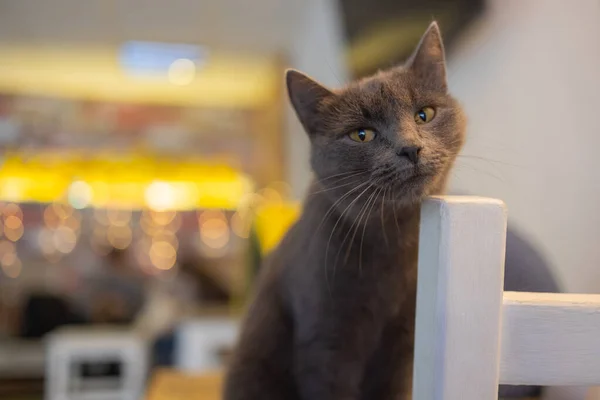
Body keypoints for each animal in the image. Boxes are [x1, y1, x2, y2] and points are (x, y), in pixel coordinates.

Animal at [224, 22, 464, 400]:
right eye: (362, 135)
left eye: (424, 114)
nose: (410, 148)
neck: (392, 238)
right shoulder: (326, 338)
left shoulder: (405, 344)